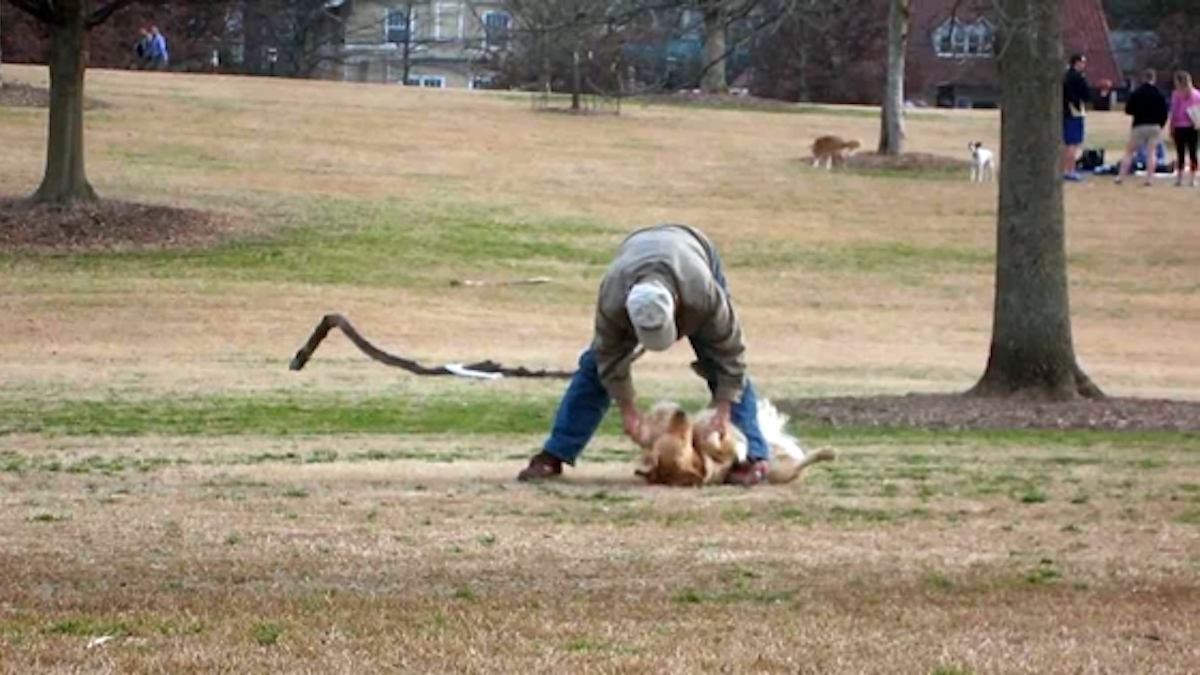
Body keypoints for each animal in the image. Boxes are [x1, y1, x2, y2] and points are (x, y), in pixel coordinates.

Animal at [628, 396, 835, 485]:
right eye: (681, 439)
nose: (681, 413)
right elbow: (718, 440)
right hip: (782, 470)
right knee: (803, 461)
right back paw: (827, 452)